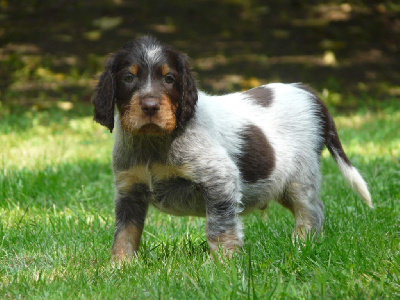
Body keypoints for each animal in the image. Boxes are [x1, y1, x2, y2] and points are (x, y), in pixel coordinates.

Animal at [92, 35, 374, 260]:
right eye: (128, 78)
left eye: (169, 78)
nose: (150, 106)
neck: (152, 142)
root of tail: (307, 91)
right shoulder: (129, 190)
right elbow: (125, 232)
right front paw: (119, 266)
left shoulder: (219, 179)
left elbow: (220, 227)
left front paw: (222, 264)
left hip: (301, 177)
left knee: (311, 213)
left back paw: (301, 245)